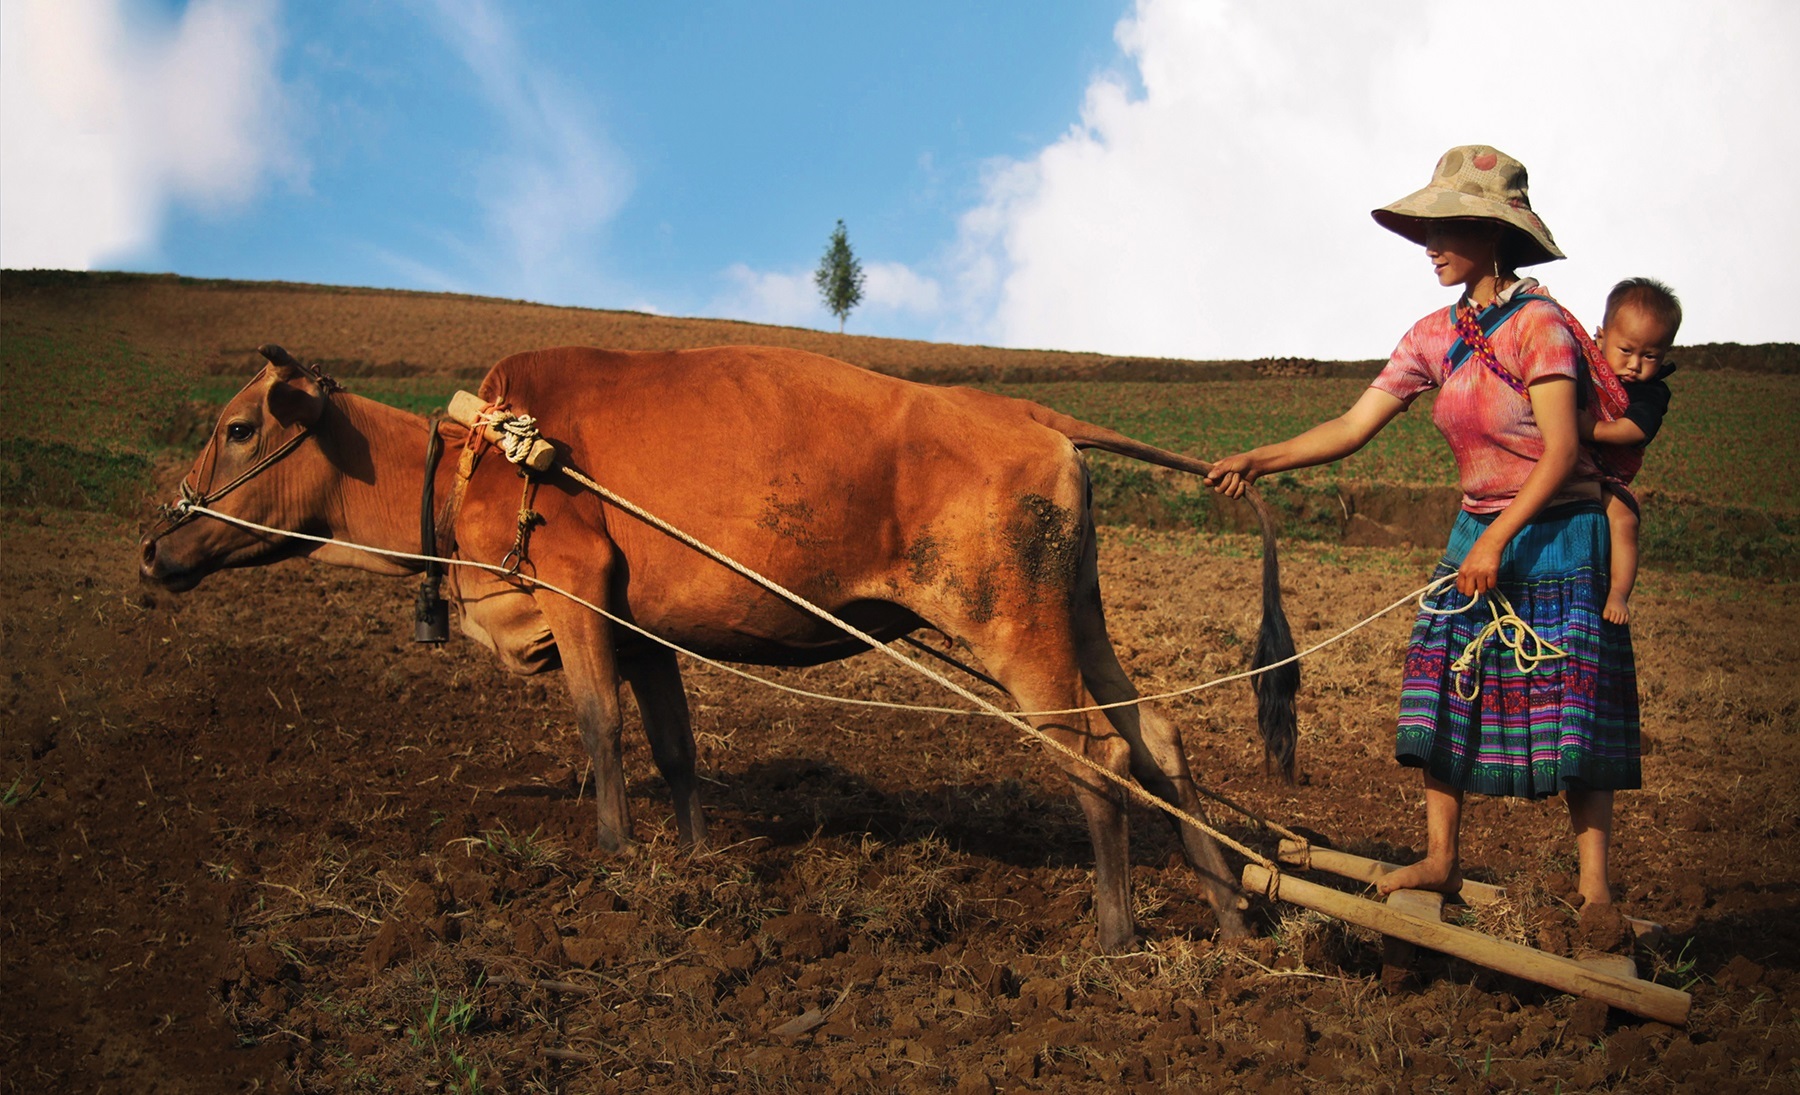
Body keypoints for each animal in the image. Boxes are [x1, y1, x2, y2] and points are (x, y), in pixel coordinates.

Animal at [144, 343, 1296, 950]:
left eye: (240, 427)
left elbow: (600, 730)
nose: (156, 548)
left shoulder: (575, 591)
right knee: (1157, 736)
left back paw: (1116, 930)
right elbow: (675, 746)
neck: (482, 455)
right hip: (1076, 617)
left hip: (1013, 631)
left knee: (1094, 756)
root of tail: (1030, 412)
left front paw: (613, 859)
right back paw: (1231, 916)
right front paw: (692, 862)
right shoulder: (642, 629)